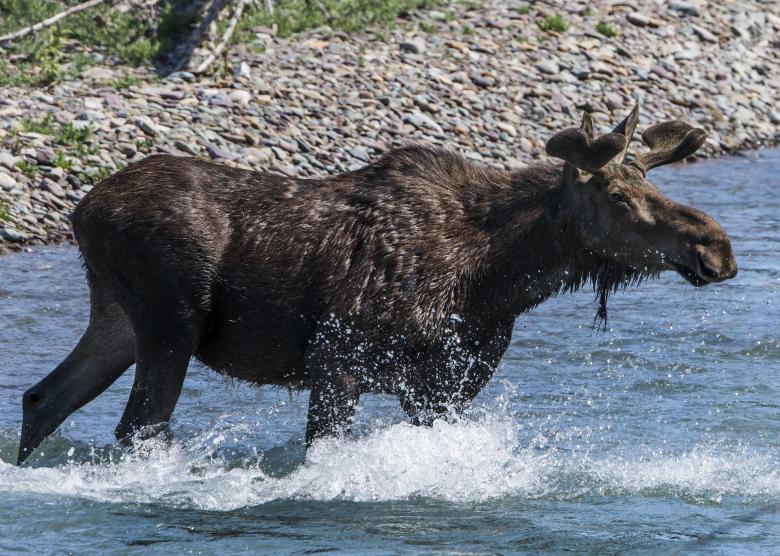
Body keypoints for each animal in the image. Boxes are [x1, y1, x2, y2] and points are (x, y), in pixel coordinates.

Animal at [17, 105, 737, 465]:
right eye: (618, 196)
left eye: (651, 183)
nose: (718, 248)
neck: (497, 276)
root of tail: (80, 210)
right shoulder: (340, 359)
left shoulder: (444, 385)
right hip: (171, 321)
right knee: (138, 426)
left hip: (118, 319)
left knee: (43, 397)